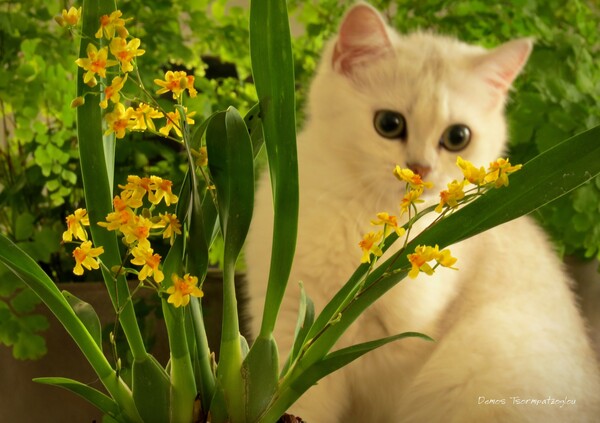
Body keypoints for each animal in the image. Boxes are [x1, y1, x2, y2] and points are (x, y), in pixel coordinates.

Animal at [244, 3, 600, 423]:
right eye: (389, 124)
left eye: (458, 137)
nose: (421, 169)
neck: (368, 212)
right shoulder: (289, 318)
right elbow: (298, 401)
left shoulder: (397, 342)